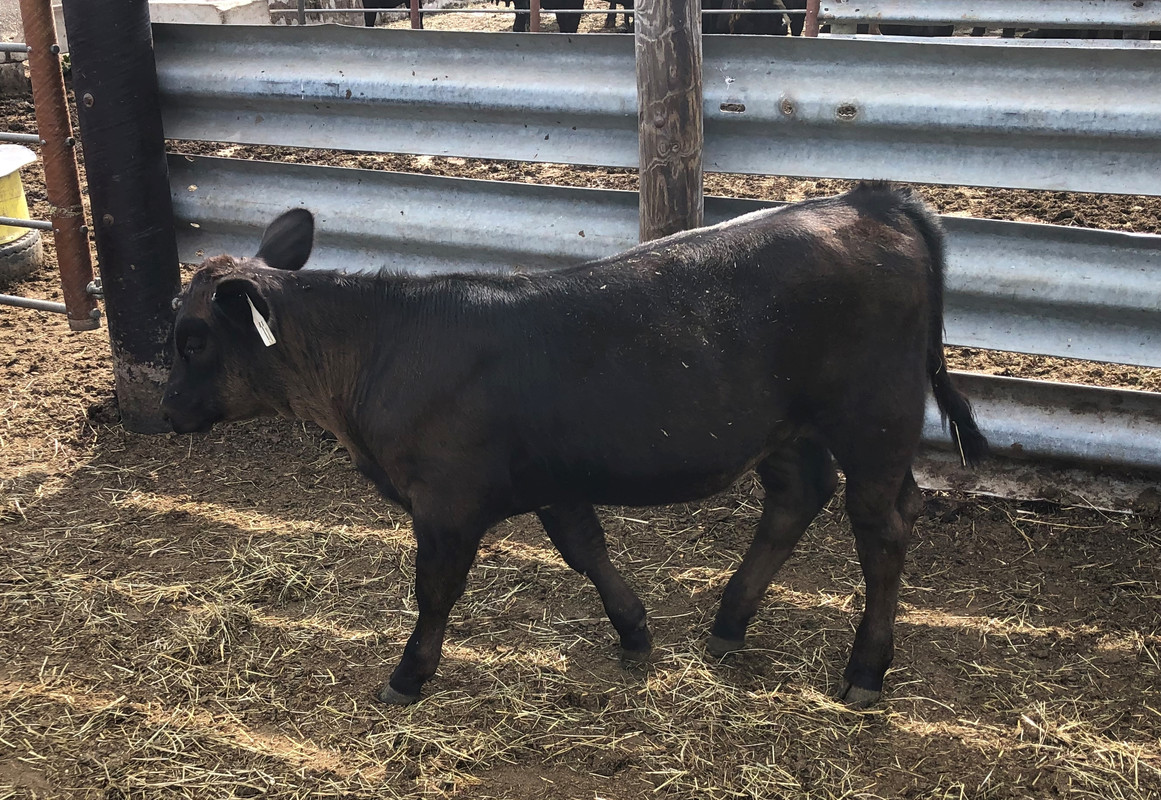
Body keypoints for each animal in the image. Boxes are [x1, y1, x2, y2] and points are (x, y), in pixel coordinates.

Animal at [162, 183, 987, 708]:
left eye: (193, 337)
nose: (163, 408)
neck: (380, 347)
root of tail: (864, 201)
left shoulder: (446, 502)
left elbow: (436, 591)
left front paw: (408, 675)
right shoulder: (549, 479)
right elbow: (584, 548)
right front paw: (634, 628)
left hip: (874, 420)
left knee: (881, 526)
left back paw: (865, 669)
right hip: (780, 424)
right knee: (798, 495)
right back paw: (728, 622)